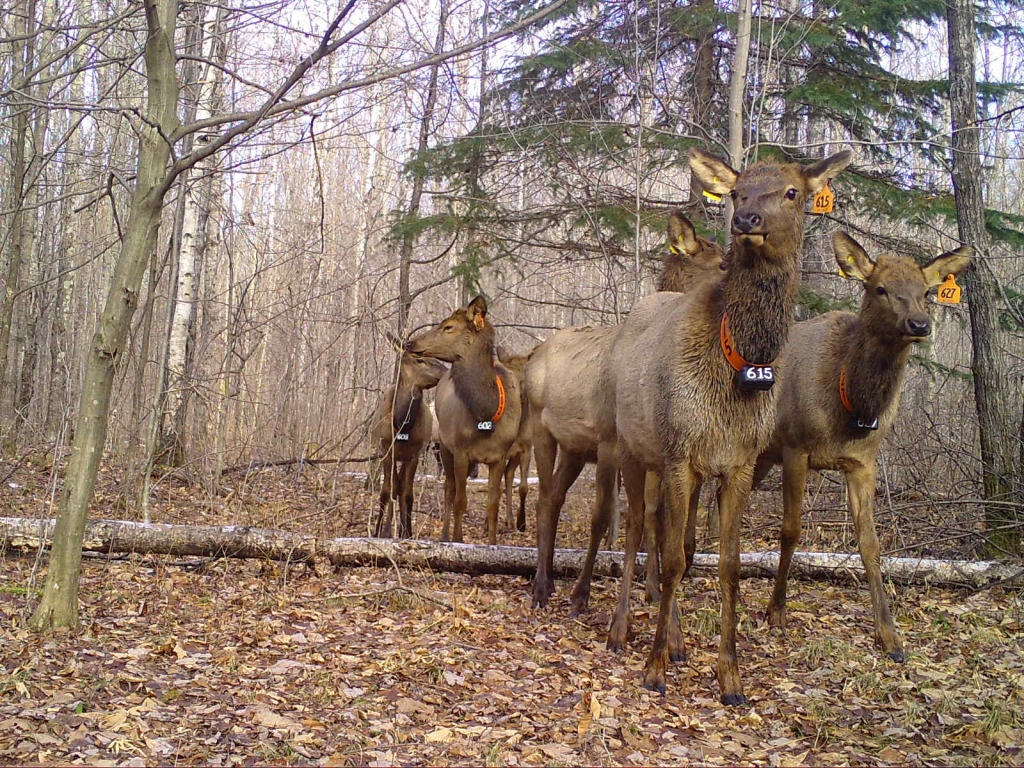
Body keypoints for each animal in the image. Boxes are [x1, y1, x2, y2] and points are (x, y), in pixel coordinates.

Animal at [370, 352, 446, 536]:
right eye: (420, 359)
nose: (446, 371)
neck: (401, 426)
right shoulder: (386, 451)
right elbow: (386, 491)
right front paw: (380, 532)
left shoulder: (414, 455)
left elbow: (408, 494)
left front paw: (407, 532)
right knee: (395, 486)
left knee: (401, 486)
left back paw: (402, 528)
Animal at [405, 296, 524, 548]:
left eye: (448, 327)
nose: (410, 342)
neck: (487, 414)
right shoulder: (460, 451)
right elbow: (461, 499)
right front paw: (458, 540)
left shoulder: (499, 456)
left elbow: (492, 504)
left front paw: (492, 543)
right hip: (444, 445)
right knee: (449, 489)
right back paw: (444, 536)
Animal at [602, 147, 851, 708]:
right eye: (737, 191)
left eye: (793, 191)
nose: (747, 220)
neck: (738, 364)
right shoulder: (680, 453)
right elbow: (674, 559)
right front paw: (654, 669)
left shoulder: (738, 463)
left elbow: (727, 563)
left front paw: (730, 677)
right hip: (631, 447)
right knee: (635, 529)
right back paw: (621, 629)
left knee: (665, 533)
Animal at [749, 233, 970, 663]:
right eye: (879, 288)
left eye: (927, 291)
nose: (919, 324)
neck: (849, 405)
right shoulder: (795, 446)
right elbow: (790, 530)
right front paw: (776, 610)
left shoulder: (863, 463)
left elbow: (871, 544)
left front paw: (890, 637)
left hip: (759, 457)